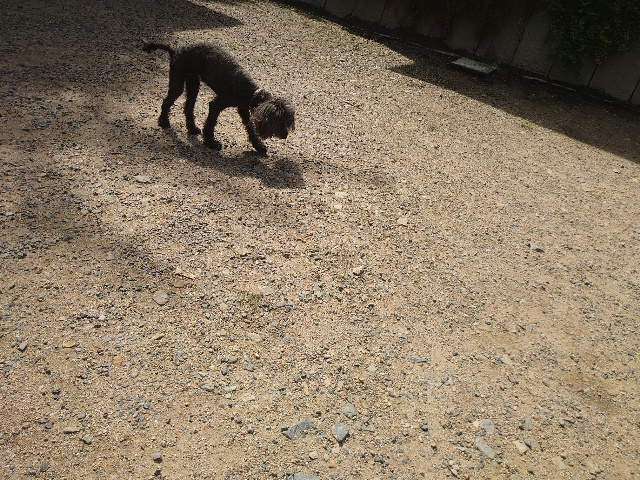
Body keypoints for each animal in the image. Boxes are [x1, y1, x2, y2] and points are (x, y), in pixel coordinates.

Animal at [143, 42, 295, 155]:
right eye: (279, 122)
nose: (285, 135)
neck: (249, 91)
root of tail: (175, 51)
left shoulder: (243, 110)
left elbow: (250, 127)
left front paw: (258, 146)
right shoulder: (217, 105)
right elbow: (211, 123)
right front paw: (211, 142)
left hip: (193, 84)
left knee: (188, 108)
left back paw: (192, 129)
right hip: (178, 83)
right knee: (167, 102)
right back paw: (163, 121)